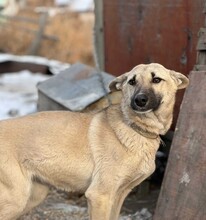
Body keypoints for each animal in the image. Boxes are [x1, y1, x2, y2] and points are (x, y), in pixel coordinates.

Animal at [0, 62, 188, 219]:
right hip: (16, 198)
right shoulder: (99, 195)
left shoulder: (119, 195)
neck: (135, 128)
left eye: (156, 80)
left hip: (34, 195)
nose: (139, 100)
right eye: (132, 82)